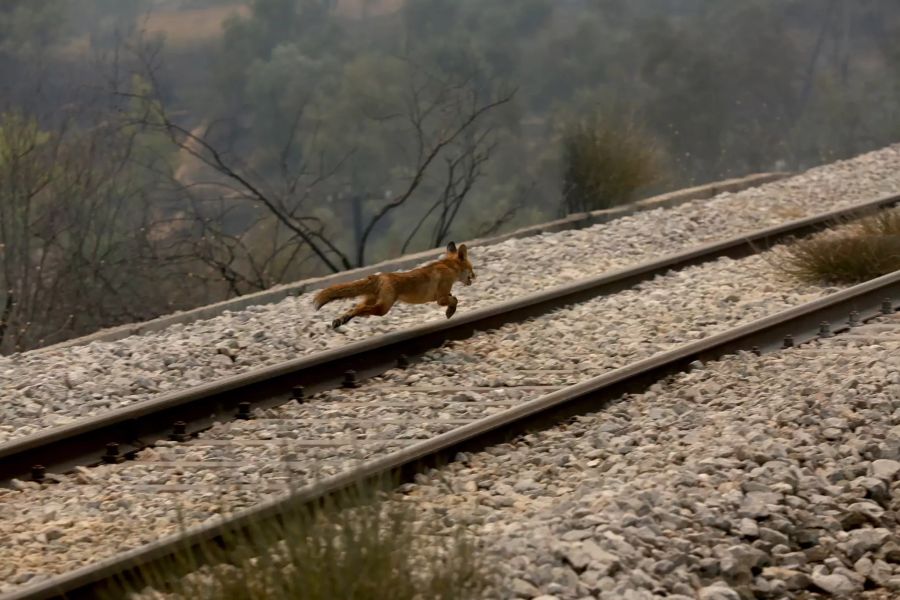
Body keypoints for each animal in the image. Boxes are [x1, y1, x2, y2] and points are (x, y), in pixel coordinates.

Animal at [312, 241, 474, 330]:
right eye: (471, 268)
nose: (475, 276)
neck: (448, 267)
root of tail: (379, 276)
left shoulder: (443, 295)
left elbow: (453, 298)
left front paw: (450, 310)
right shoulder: (440, 298)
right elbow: (454, 300)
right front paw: (450, 312)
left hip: (372, 302)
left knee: (354, 308)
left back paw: (340, 321)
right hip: (383, 308)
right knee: (361, 309)